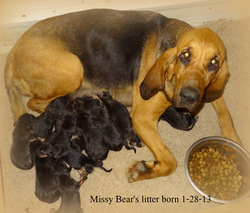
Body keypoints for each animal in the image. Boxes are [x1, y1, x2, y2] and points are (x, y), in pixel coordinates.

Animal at [4, 8, 241, 181]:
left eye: (214, 63)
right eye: (185, 56)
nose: (189, 97)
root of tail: (12, 55)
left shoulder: (209, 90)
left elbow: (224, 111)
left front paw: (233, 137)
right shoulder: (142, 118)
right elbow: (170, 161)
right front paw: (145, 171)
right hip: (74, 68)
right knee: (34, 103)